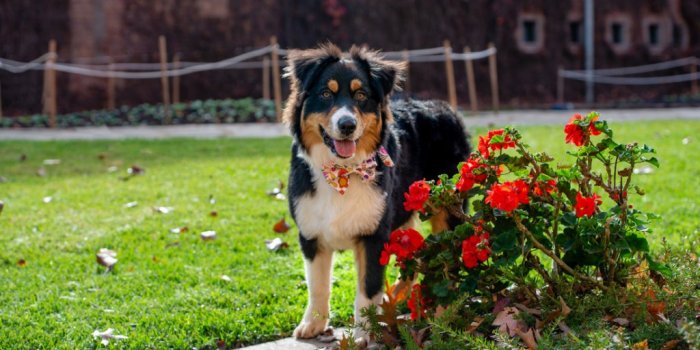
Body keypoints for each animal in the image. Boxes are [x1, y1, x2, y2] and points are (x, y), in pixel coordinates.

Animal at [284, 43, 470, 340]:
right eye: (326, 94)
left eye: (361, 95)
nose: (347, 125)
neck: (342, 173)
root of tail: (445, 106)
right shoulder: (311, 235)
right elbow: (318, 286)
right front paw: (313, 323)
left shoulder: (374, 235)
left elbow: (367, 288)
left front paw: (363, 332)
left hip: (447, 211)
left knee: (448, 263)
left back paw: (443, 311)